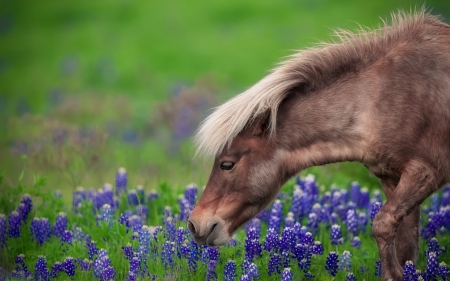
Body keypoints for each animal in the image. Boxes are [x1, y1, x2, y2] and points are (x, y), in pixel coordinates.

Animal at [187, 9, 450, 278]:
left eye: (227, 164)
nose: (194, 224)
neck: (379, 100)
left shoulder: (427, 171)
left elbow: (383, 224)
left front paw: (393, 274)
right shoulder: (392, 178)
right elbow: (406, 244)